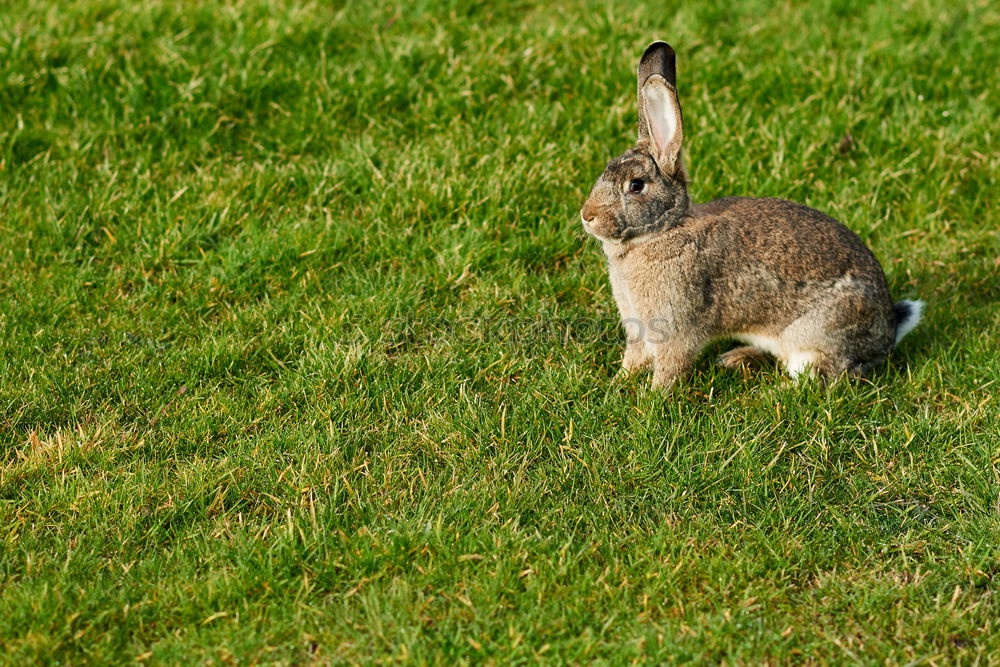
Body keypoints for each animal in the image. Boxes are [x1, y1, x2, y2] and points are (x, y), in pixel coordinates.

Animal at [584, 41, 924, 388]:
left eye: (636, 185)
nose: (587, 215)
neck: (665, 229)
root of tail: (888, 333)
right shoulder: (638, 326)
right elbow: (635, 355)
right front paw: (619, 381)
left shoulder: (675, 327)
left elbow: (671, 365)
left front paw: (653, 394)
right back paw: (735, 358)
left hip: (818, 337)